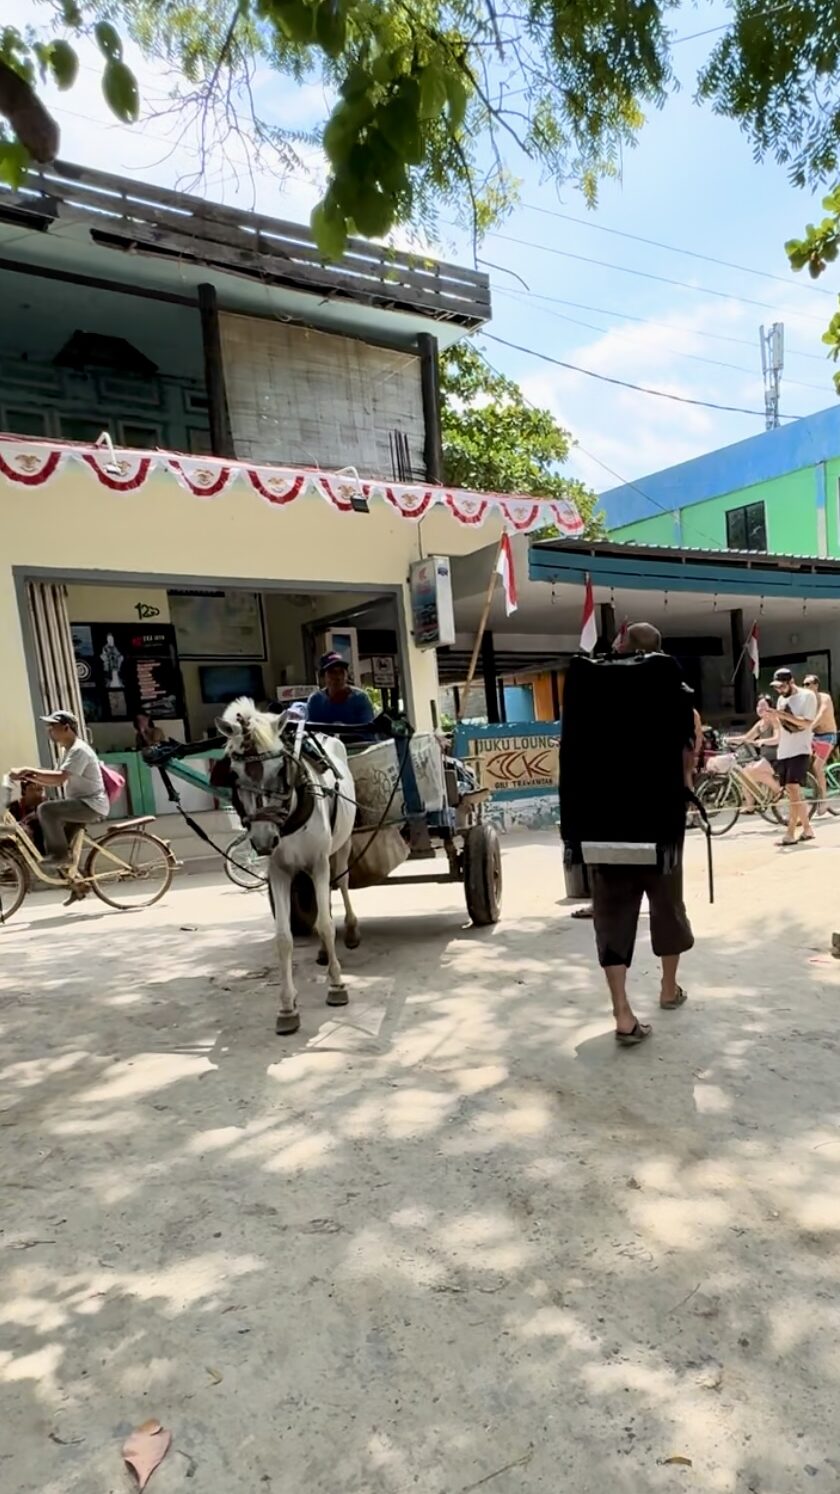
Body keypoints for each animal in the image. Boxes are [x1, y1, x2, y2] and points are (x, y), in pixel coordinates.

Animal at [215, 702, 355, 1039]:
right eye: (234, 773)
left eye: (281, 769)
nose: (264, 839)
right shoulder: (278, 871)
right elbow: (283, 937)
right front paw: (287, 1007)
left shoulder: (318, 862)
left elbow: (327, 925)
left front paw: (337, 986)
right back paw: (322, 952)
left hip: (341, 847)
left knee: (342, 884)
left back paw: (352, 930)